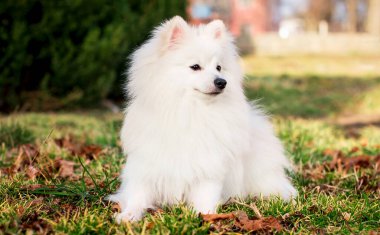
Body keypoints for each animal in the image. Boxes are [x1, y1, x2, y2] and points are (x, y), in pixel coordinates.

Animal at [108, 15, 298, 221]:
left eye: (219, 67)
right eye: (195, 67)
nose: (221, 82)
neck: (192, 111)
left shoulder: (209, 166)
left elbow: (206, 195)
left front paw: (205, 215)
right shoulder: (148, 164)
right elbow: (138, 194)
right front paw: (129, 215)